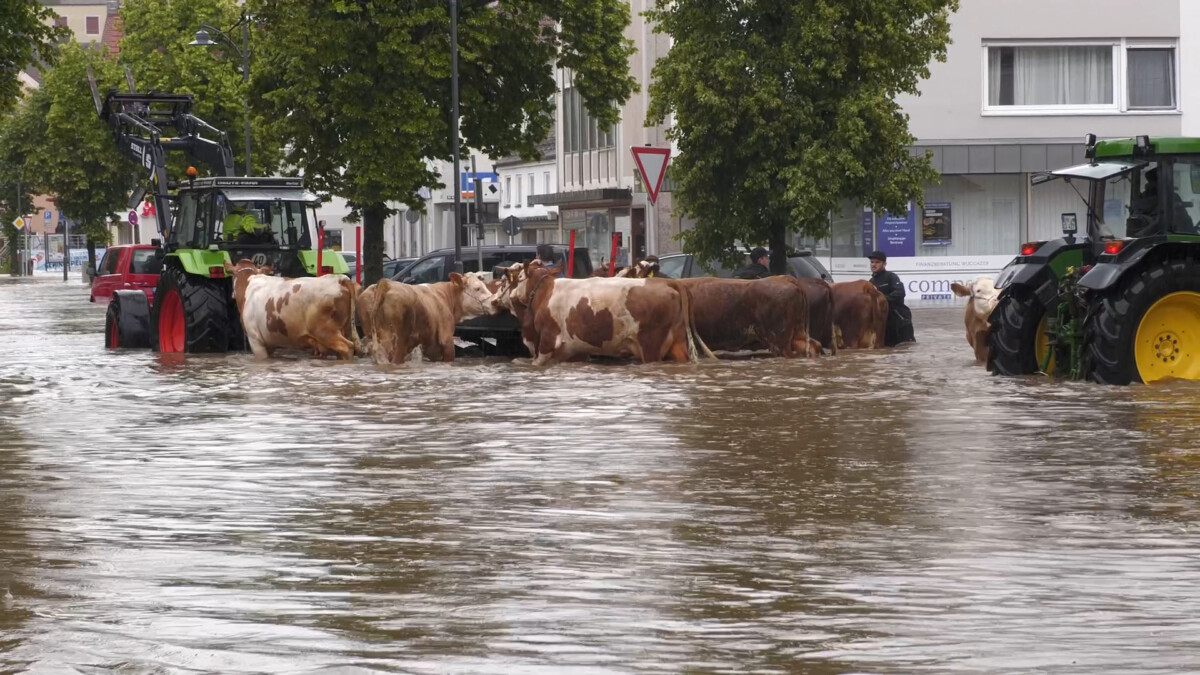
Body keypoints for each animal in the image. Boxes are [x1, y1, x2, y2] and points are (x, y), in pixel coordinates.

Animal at [224, 257, 355, 360]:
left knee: (347, 347)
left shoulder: (255, 340)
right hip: (345, 329)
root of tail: (339, 279)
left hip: (325, 331)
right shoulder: (269, 342)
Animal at [360, 270, 501, 362]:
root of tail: (386, 283)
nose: (494, 302)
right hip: (399, 342)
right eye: (477, 288)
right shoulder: (446, 339)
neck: (446, 296)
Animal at [489, 260, 710, 365]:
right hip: (677, 344)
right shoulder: (574, 351)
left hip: (651, 346)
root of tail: (667, 282)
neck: (544, 292)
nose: (494, 300)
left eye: (507, 280)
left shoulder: (547, 343)